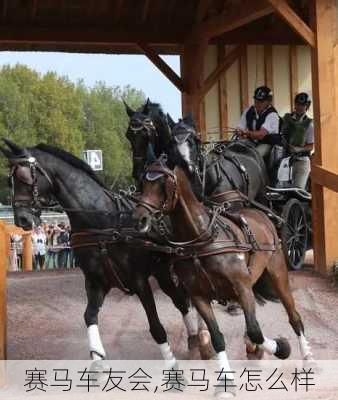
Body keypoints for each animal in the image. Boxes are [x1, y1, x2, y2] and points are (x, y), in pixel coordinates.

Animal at [0, 139, 201, 364]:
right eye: (9, 181)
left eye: (25, 177)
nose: (22, 219)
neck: (103, 222)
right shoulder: (96, 282)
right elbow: (89, 316)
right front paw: (97, 360)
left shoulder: (139, 281)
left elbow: (156, 327)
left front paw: (172, 365)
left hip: (164, 271)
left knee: (181, 301)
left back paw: (195, 338)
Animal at [132, 158, 314, 392]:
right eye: (142, 183)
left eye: (164, 185)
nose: (139, 219)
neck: (203, 241)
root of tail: (260, 214)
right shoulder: (199, 296)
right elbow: (219, 337)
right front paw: (225, 382)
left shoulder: (242, 287)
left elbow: (255, 331)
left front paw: (280, 348)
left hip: (278, 273)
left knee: (294, 317)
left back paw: (307, 357)